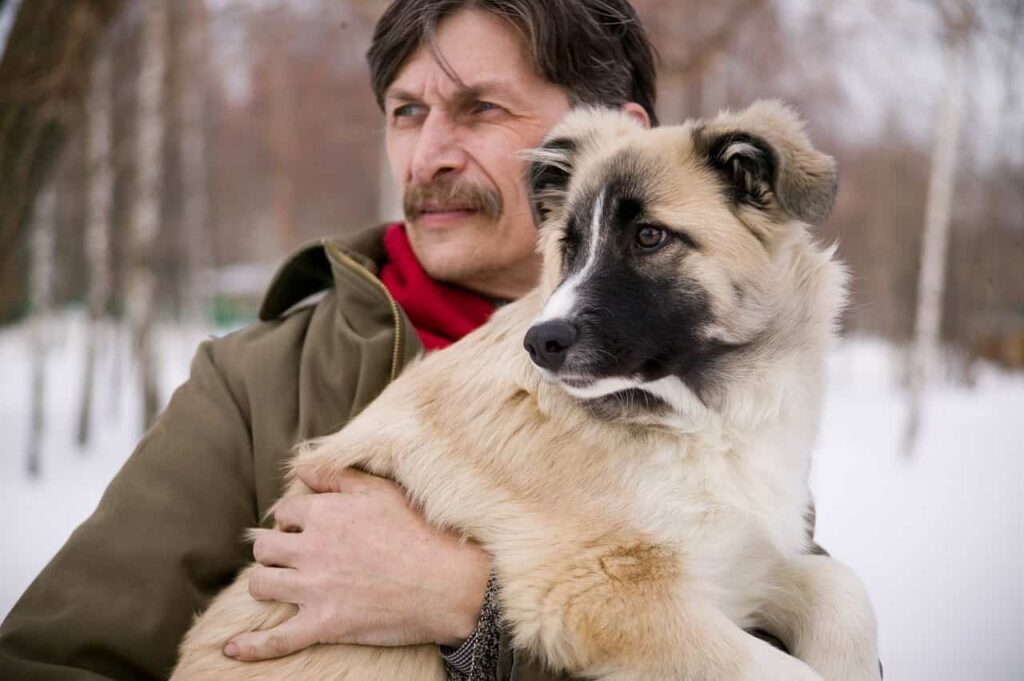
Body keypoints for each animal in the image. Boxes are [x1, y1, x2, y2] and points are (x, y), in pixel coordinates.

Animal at [169, 100, 880, 679]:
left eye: (649, 236)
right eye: (569, 245)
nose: (541, 343)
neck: (699, 418)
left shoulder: (736, 564)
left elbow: (843, 593)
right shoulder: (599, 593)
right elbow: (789, 667)